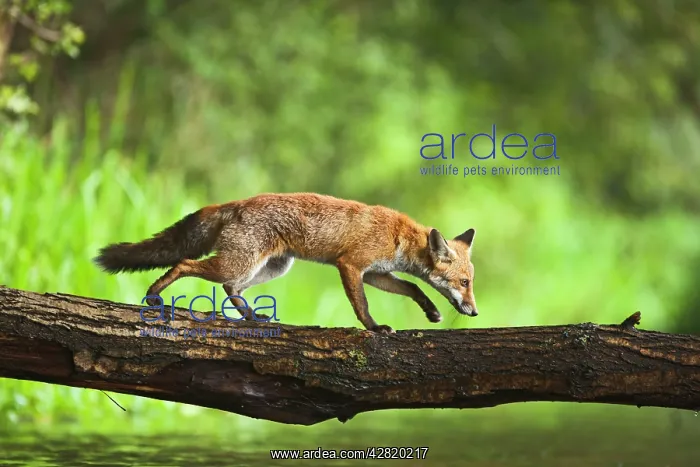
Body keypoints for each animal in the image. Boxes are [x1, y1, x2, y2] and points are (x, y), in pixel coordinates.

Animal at [94, 193, 478, 334]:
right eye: (464, 283)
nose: (474, 312)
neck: (398, 237)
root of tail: (234, 203)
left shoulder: (376, 274)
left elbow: (412, 286)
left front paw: (431, 311)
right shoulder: (351, 266)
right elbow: (362, 306)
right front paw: (374, 328)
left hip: (270, 268)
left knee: (230, 288)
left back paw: (250, 316)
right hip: (237, 263)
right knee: (185, 263)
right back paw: (153, 295)